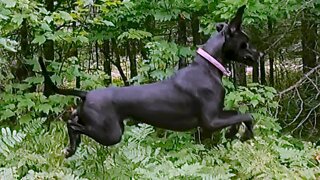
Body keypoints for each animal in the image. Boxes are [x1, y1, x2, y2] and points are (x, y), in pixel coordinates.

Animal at [38, 5, 262, 158]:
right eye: (246, 42)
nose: (259, 54)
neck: (208, 66)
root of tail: (86, 94)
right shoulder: (210, 121)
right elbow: (247, 114)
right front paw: (244, 134)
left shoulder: (217, 114)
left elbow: (237, 112)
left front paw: (233, 132)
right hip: (111, 133)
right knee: (71, 124)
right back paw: (71, 146)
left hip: (97, 122)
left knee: (73, 119)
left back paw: (71, 147)